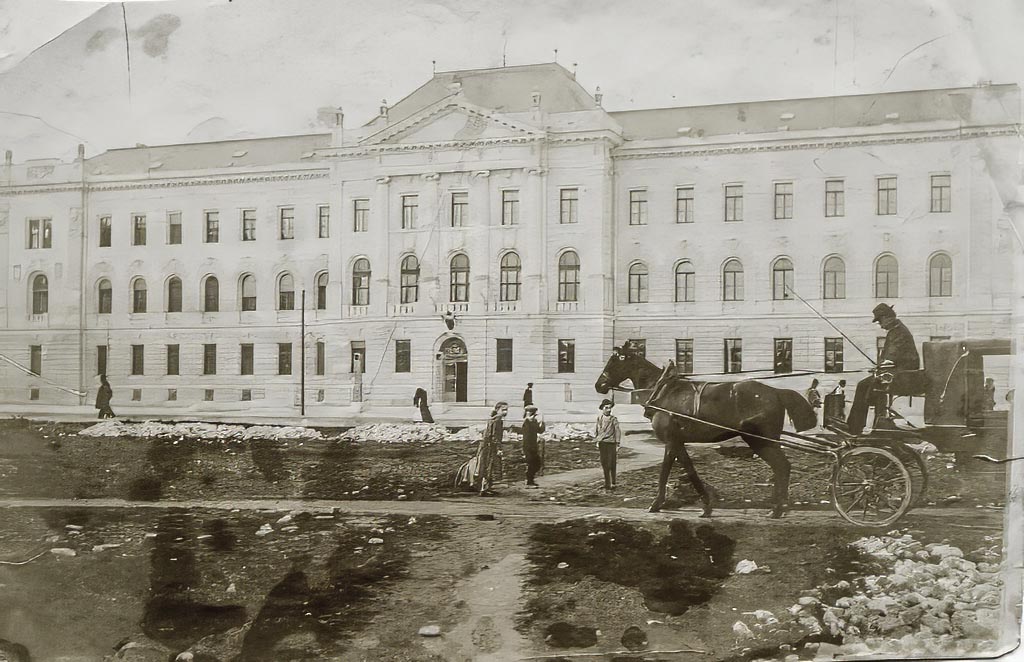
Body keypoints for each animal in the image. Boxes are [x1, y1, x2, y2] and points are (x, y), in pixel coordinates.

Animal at [594, 342, 818, 518]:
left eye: (614, 361)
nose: (599, 385)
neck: (663, 391)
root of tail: (776, 391)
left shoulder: (671, 441)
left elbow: (667, 470)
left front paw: (657, 504)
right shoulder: (678, 442)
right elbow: (689, 469)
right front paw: (707, 505)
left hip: (760, 440)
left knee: (782, 466)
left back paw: (778, 508)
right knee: (782, 467)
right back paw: (780, 506)